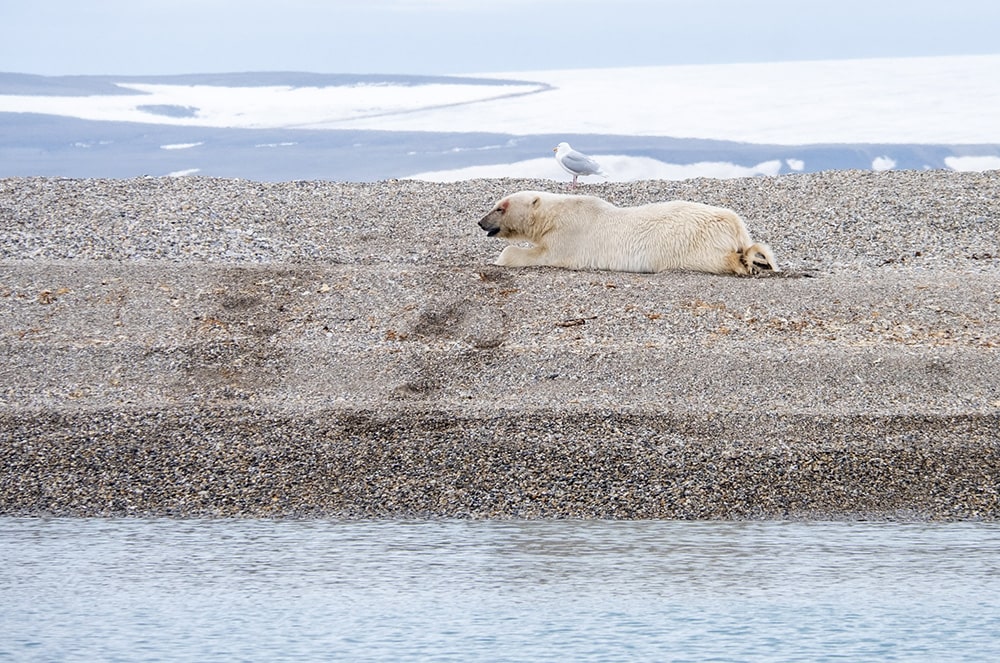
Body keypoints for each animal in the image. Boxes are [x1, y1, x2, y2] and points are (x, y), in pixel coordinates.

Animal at [478, 191, 780, 276]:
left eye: (500, 207)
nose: (481, 222)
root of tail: (734, 224)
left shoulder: (568, 237)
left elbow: (542, 254)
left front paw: (502, 257)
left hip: (690, 243)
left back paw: (748, 262)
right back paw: (762, 260)